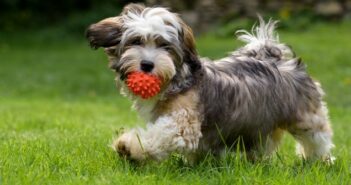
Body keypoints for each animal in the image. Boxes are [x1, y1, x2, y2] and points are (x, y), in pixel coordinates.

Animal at [86, 3, 336, 163]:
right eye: (136, 41)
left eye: (165, 46)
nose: (147, 65)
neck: (176, 82)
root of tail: (275, 58)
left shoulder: (182, 123)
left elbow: (161, 135)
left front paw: (129, 147)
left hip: (306, 116)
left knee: (317, 137)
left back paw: (319, 160)